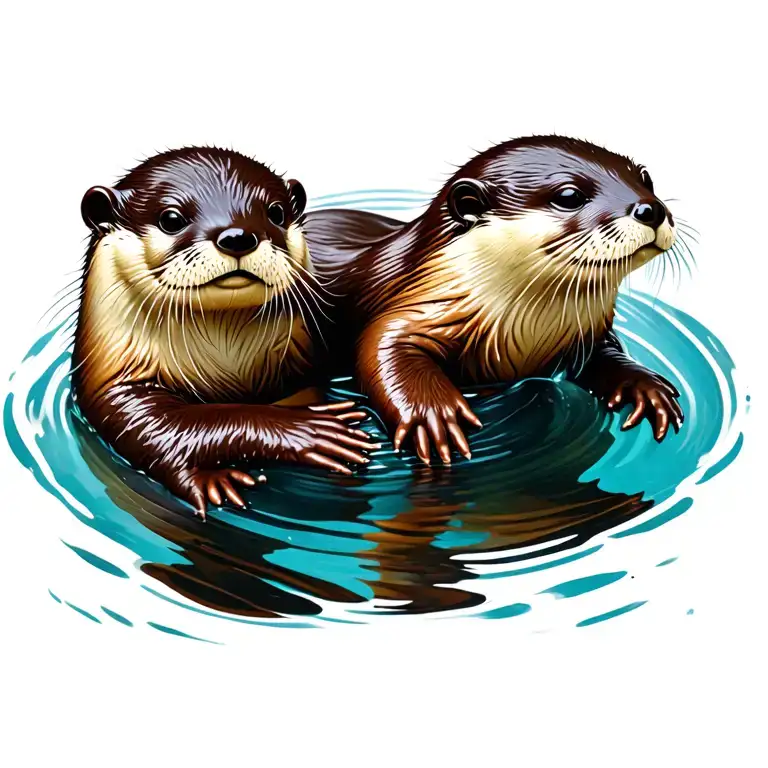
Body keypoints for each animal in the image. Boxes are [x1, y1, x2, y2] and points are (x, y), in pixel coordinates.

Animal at [73, 147, 377, 518]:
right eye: (171, 219)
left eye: (275, 213)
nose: (237, 236)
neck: (229, 367)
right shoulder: (112, 385)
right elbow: (161, 426)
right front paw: (308, 431)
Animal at [304, 136, 685, 464]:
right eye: (569, 195)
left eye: (646, 178)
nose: (650, 209)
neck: (530, 330)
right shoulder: (420, 308)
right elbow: (380, 345)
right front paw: (434, 416)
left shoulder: (585, 332)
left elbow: (607, 352)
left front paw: (644, 384)